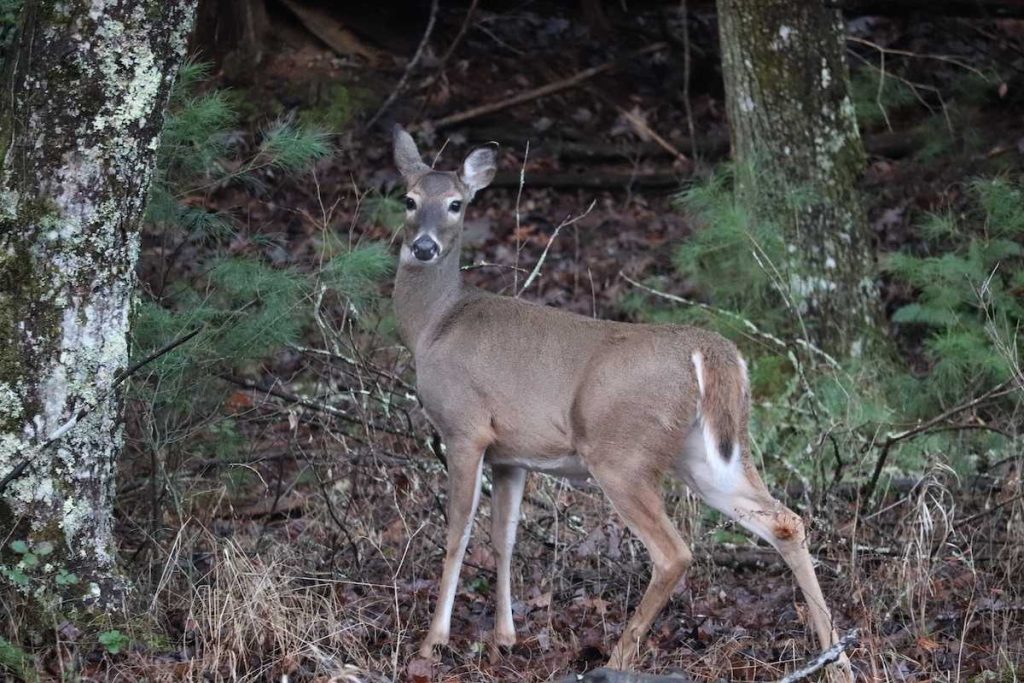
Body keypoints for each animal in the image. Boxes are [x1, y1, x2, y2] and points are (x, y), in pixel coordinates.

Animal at [387, 125, 851, 679]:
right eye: (409, 199)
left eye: (456, 203)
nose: (424, 245)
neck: (433, 325)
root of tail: (711, 352)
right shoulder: (511, 454)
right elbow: (505, 537)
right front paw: (505, 638)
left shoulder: (464, 428)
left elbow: (456, 533)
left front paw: (431, 643)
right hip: (708, 453)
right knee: (784, 520)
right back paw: (837, 659)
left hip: (620, 453)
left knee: (674, 552)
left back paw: (618, 655)